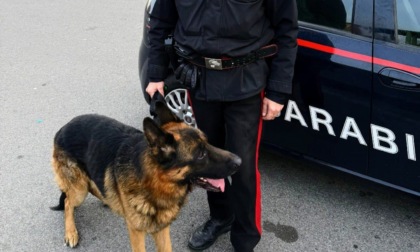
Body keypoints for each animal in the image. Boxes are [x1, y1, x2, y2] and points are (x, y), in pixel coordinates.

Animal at [50, 102, 241, 252]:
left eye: (207, 143)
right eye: (200, 154)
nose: (239, 161)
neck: (154, 182)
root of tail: (63, 128)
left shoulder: (162, 229)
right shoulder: (136, 232)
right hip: (79, 190)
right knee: (68, 201)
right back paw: (71, 232)